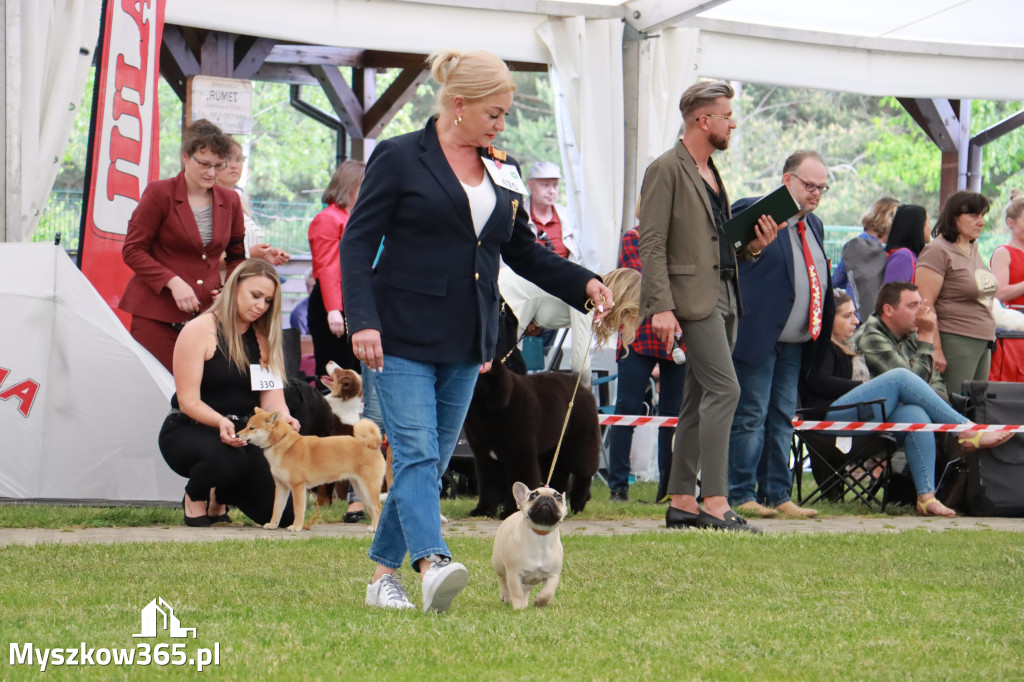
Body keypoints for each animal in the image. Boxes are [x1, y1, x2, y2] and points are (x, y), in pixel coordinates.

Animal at [237, 403, 385, 532]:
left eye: (251, 428)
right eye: (246, 425)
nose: (237, 434)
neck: (281, 443)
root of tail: (371, 444)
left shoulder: (297, 487)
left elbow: (298, 510)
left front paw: (296, 526)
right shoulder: (281, 486)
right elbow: (277, 509)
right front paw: (273, 525)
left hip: (368, 487)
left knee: (377, 508)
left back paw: (376, 528)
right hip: (360, 489)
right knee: (372, 509)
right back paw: (373, 527)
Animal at [464, 360, 598, 516]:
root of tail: (582, 386)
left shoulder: (520, 455)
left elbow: (519, 482)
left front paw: (511, 511)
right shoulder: (485, 457)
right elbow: (488, 484)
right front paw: (483, 510)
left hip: (579, 445)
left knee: (584, 473)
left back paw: (578, 503)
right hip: (551, 451)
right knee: (559, 473)